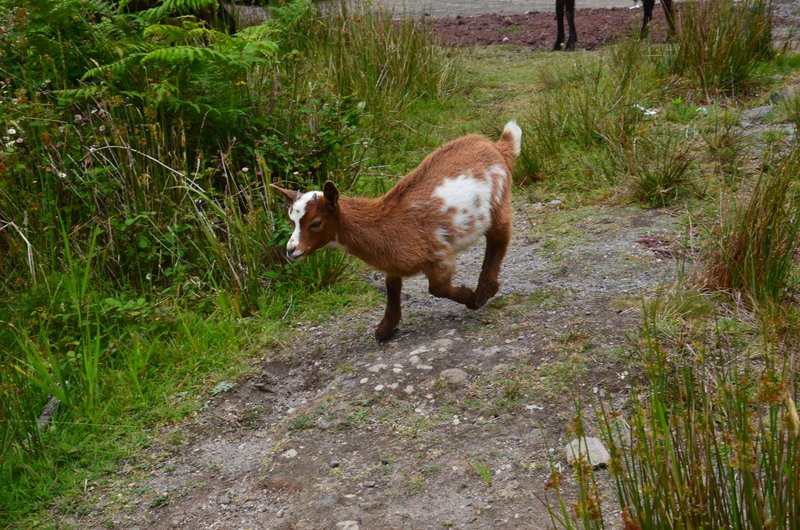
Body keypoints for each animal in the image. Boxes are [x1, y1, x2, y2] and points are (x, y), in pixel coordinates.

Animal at [271, 121, 522, 342]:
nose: (291, 250)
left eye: (315, 223)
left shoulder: (439, 255)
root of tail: (496, 147)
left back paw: (485, 290)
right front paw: (385, 329)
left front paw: (471, 298)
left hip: (498, 203)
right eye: (292, 220)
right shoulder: (394, 261)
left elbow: (437, 288)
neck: (384, 224)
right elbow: (392, 287)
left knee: (499, 238)